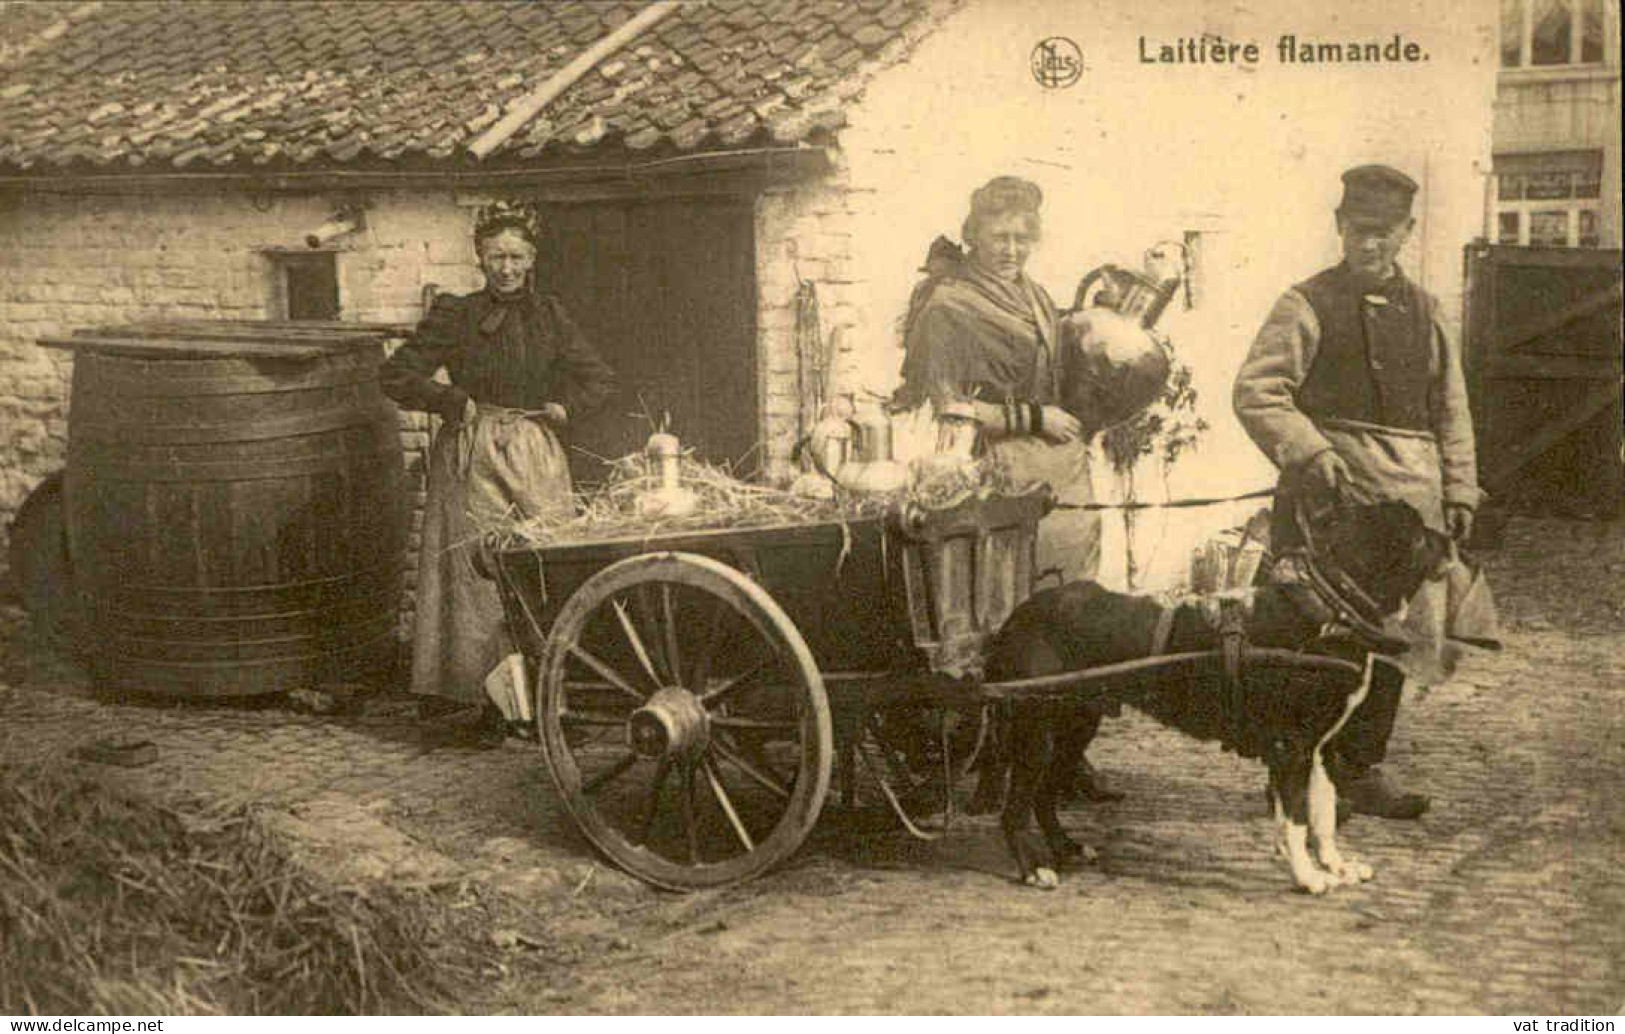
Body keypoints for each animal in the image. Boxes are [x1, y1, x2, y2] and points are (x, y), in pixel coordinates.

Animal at [981, 497, 1456, 890]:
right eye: (1418, 536)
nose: (1452, 537)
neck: (1329, 611)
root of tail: (1017, 616)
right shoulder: (1292, 748)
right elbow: (1298, 819)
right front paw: (1307, 877)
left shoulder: (1322, 749)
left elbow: (1321, 817)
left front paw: (1335, 867)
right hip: (1037, 731)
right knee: (1016, 806)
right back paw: (1034, 867)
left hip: (1075, 725)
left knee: (1044, 795)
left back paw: (1066, 848)